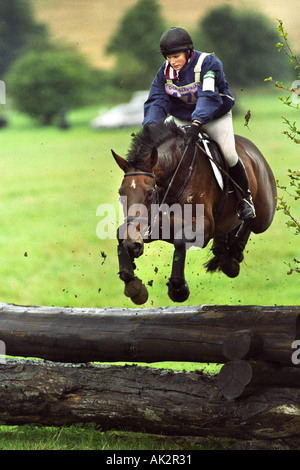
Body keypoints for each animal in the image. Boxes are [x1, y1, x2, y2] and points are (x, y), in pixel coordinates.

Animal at [110, 120, 276, 304]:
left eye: (149, 193)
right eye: (120, 194)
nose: (133, 244)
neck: (176, 178)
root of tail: (252, 150)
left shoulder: (203, 227)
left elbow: (180, 242)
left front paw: (178, 288)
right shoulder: (154, 225)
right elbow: (120, 235)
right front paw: (133, 284)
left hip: (264, 216)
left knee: (251, 222)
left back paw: (236, 241)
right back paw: (226, 252)